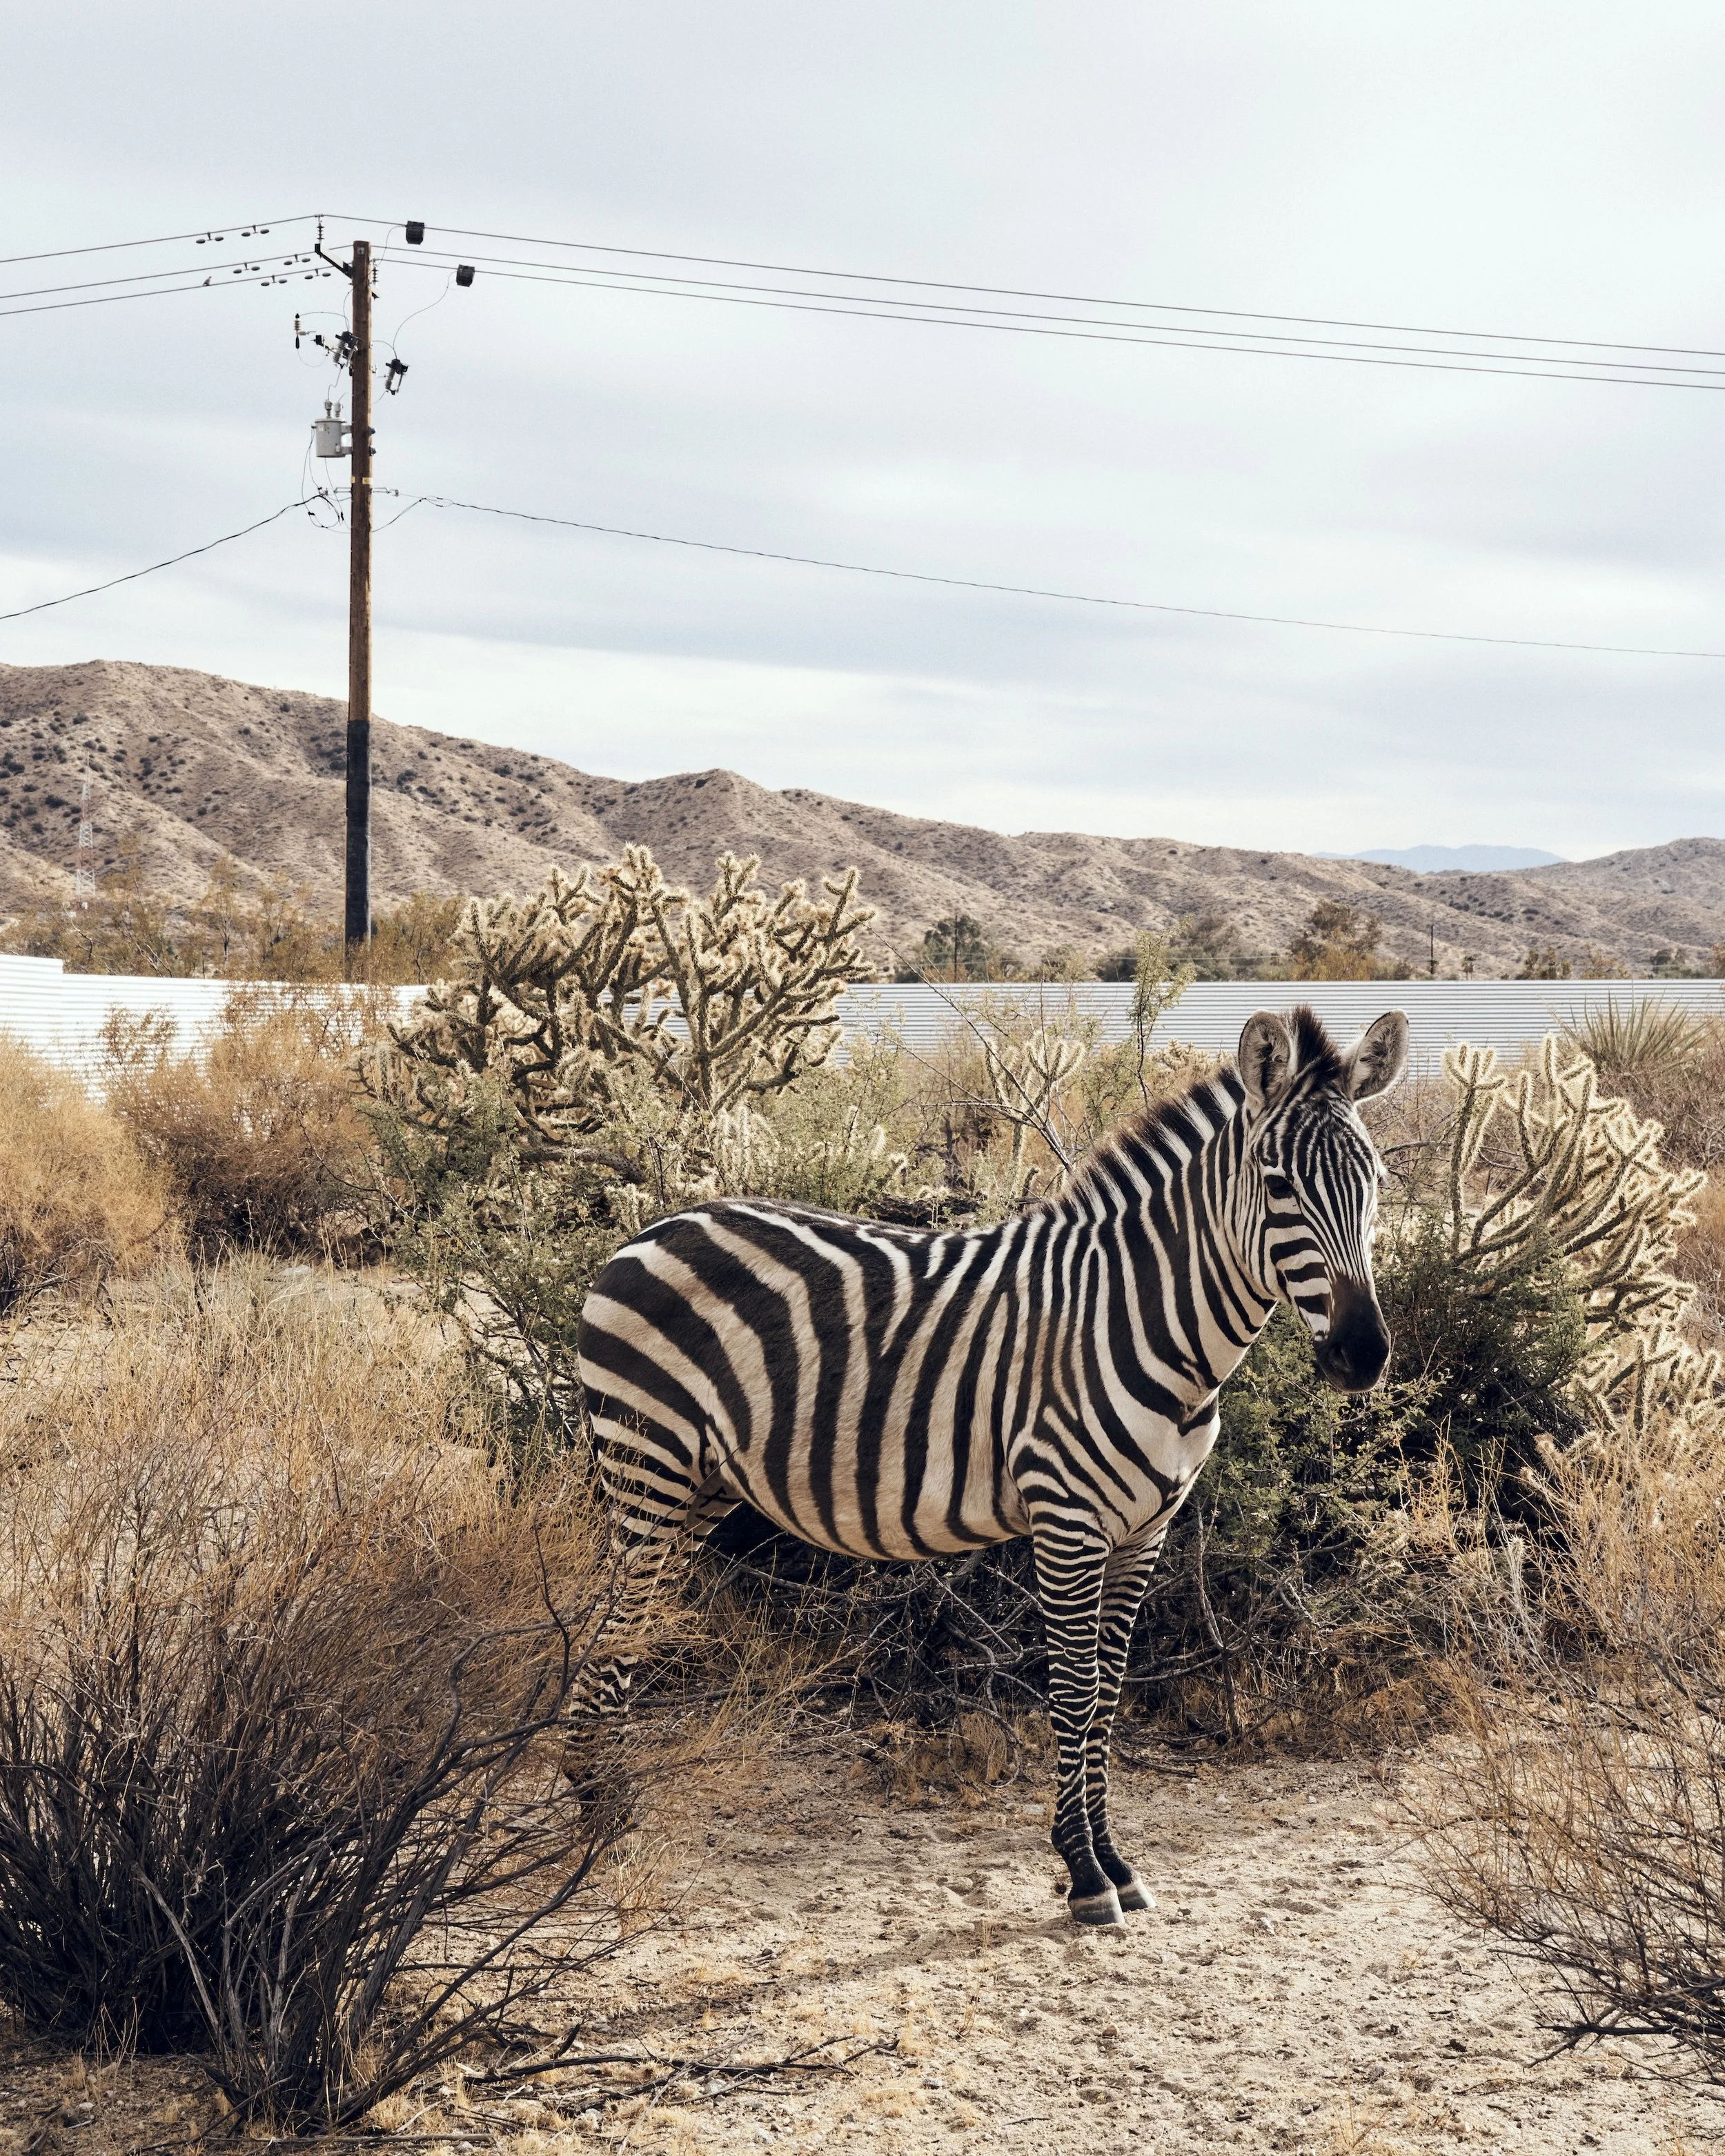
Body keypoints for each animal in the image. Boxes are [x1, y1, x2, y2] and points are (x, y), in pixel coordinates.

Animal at [571, 1004, 1408, 1927]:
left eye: (1373, 1181)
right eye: (1276, 1182)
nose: (1363, 1354)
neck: (1148, 1322)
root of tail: (649, 1231)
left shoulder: (1144, 1530)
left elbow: (1109, 1691)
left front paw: (1113, 1859)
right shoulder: (1066, 1519)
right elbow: (1074, 1689)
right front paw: (1082, 1872)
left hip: (701, 1487)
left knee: (626, 1627)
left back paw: (609, 1812)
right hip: (647, 1464)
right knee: (607, 1626)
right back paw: (602, 1829)